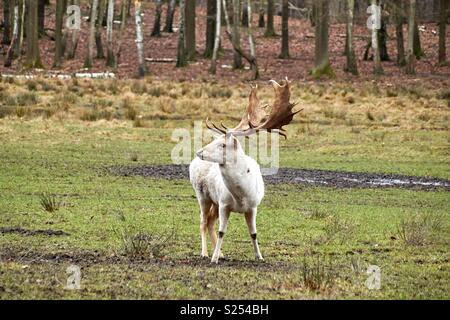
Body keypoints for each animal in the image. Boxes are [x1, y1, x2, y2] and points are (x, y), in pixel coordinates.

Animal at [189, 78, 298, 262]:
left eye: (222, 144)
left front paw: (259, 257)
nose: (199, 152)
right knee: (203, 222)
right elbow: (222, 231)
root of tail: (192, 163)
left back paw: (221, 253)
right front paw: (213, 259)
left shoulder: (253, 206)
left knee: (210, 221)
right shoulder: (224, 204)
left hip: (213, 201)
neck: (241, 195)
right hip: (202, 195)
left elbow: (254, 233)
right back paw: (205, 253)